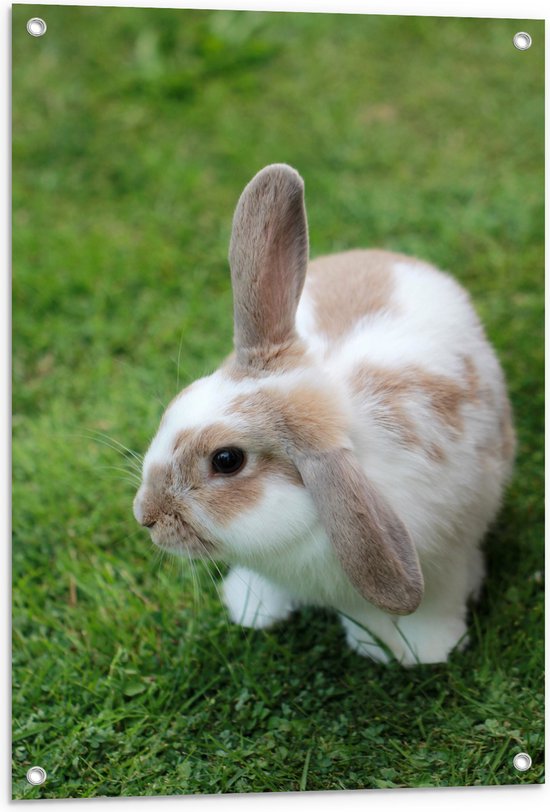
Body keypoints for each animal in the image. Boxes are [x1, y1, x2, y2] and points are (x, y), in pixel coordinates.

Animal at [134, 165, 516, 668]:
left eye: (227, 460)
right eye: (179, 402)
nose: (146, 516)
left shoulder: (442, 560)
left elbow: (433, 606)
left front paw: (427, 651)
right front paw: (251, 608)